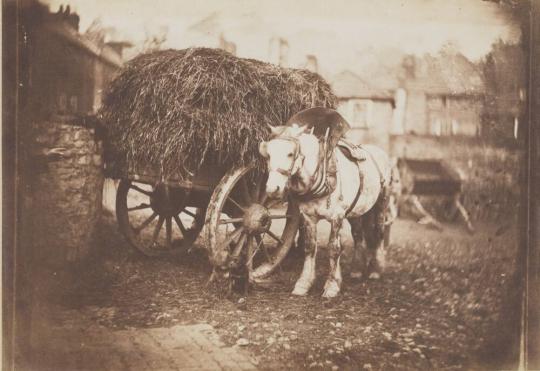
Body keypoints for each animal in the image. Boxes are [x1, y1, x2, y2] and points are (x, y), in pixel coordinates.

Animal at [258, 123, 392, 298]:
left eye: (290, 154)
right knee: (358, 236)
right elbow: (309, 247)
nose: (272, 189)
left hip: (382, 203)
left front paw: (332, 286)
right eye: (268, 155)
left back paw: (376, 269)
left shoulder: (337, 217)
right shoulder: (308, 217)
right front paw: (303, 283)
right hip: (356, 212)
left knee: (379, 233)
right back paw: (356, 270)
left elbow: (334, 248)